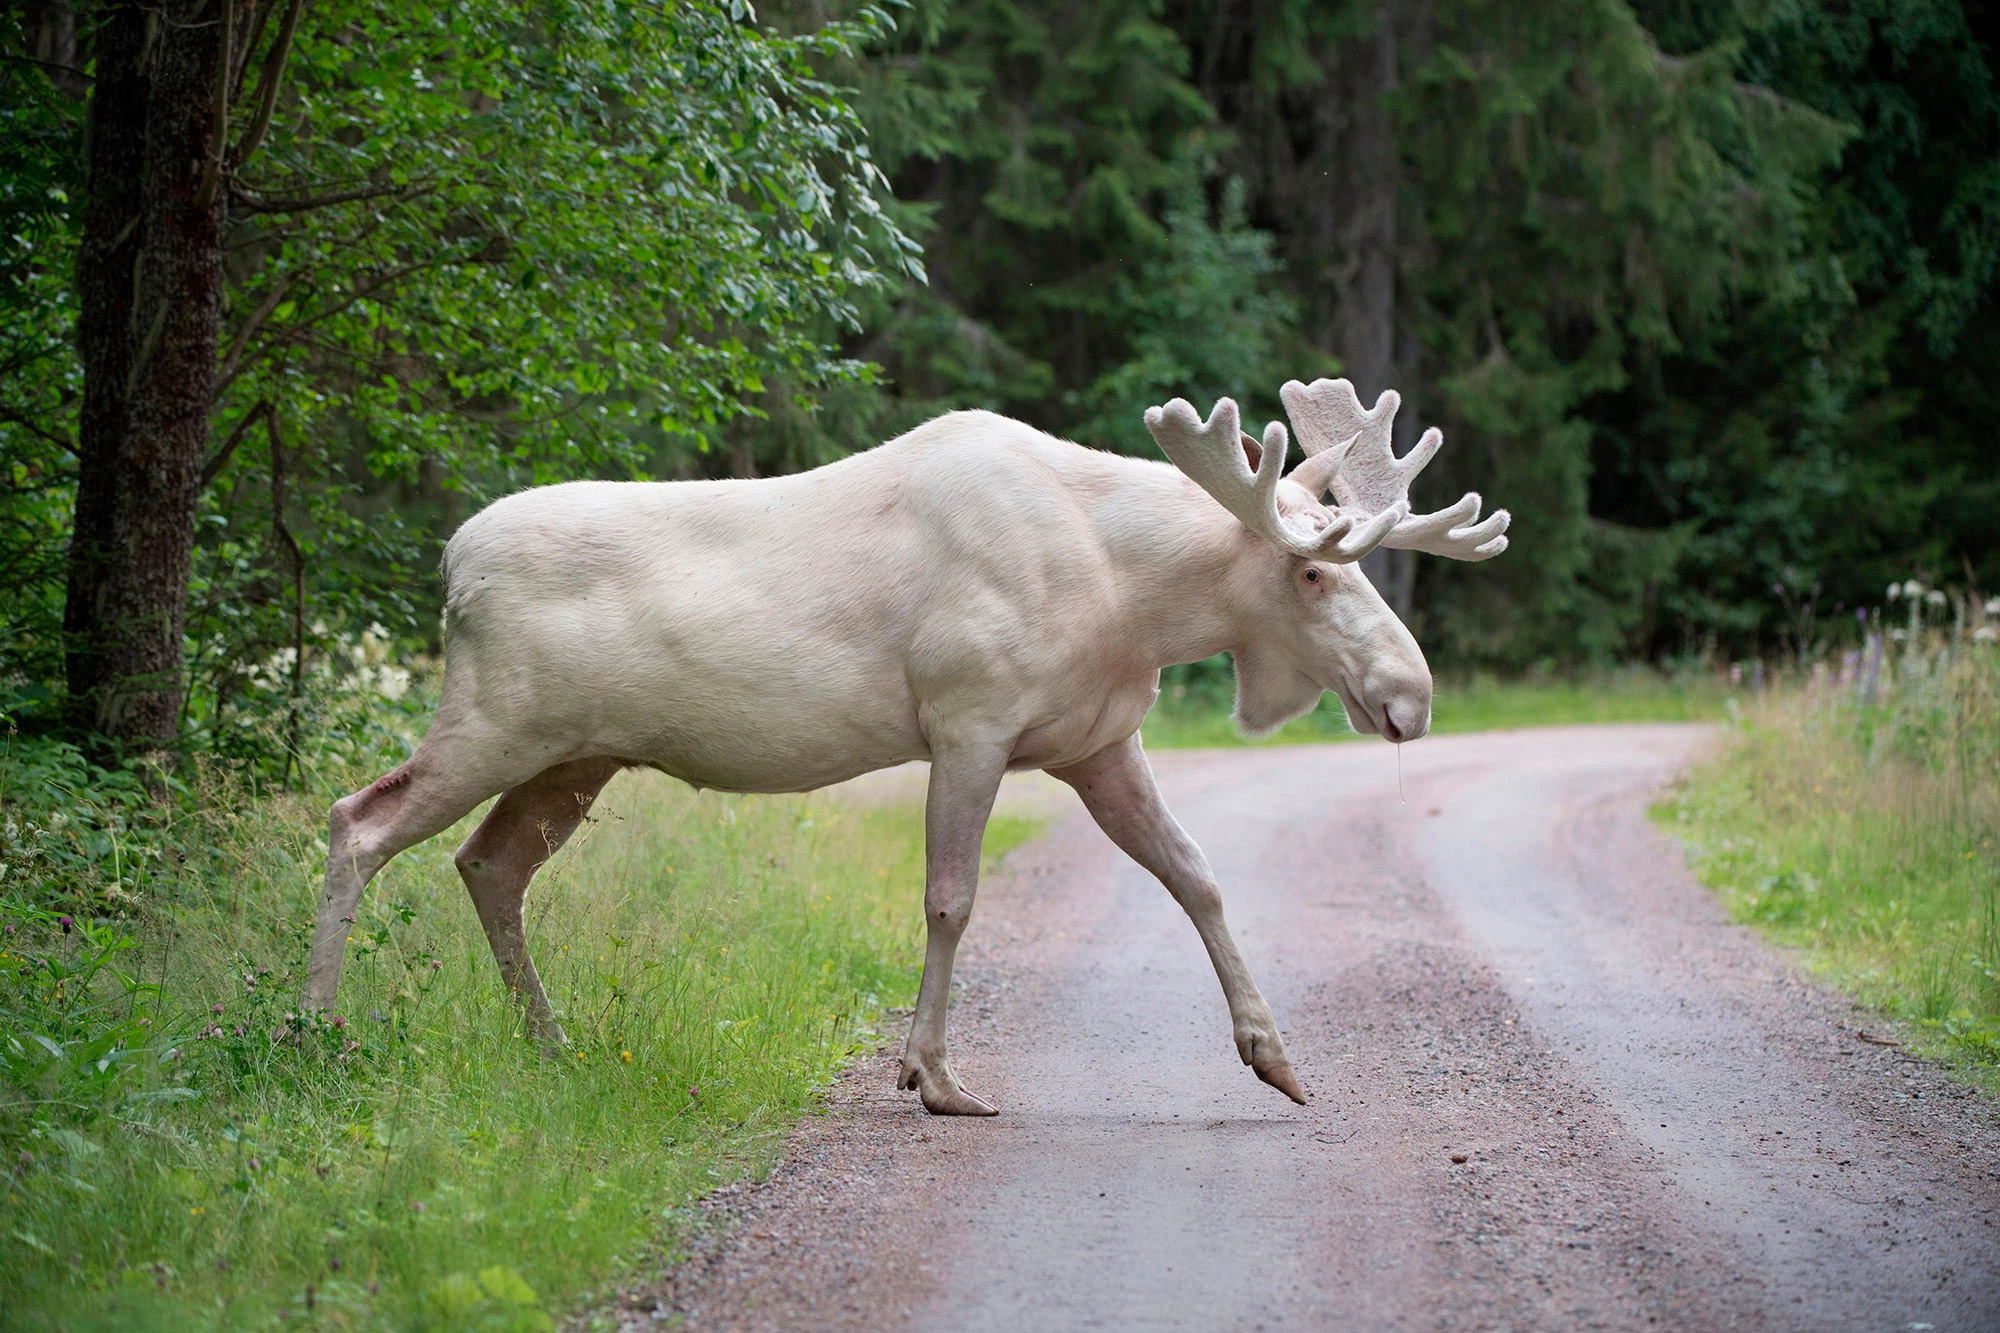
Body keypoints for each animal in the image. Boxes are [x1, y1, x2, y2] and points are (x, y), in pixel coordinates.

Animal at [304, 382, 1504, 1112]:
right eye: (1310, 571)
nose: (1411, 696)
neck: (1131, 598)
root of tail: (451, 565)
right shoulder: (969, 718)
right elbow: (951, 897)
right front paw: (932, 1075)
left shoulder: (1097, 741)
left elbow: (1198, 876)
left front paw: (1275, 1056)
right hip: (497, 719)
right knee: (358, 819)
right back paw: (315, 1029)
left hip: (574, 755)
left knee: (488, 862)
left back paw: (549, 1044)